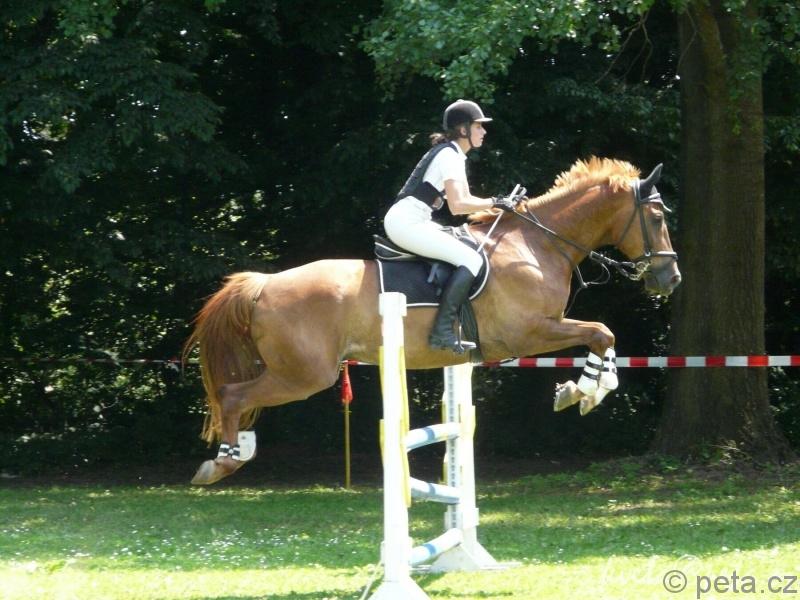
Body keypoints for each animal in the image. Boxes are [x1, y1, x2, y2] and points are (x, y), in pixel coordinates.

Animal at [185, 157, 681, 485]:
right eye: (657, 216)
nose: (670, 278)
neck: (538, 243)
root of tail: (264, 285)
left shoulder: (542, 328)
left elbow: (602, 336)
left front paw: (583, 390)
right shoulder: (529, 332)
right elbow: (601, 332)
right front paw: (585, 391)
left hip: (297, 372)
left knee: (237, 398)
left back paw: (235, 452)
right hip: (305, 374)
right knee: (232, 395)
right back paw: (222, 461)